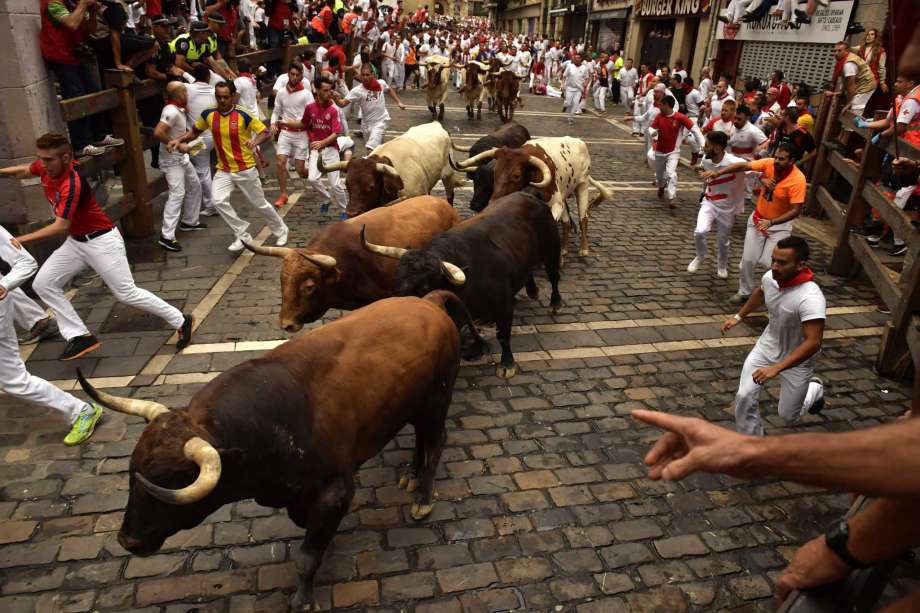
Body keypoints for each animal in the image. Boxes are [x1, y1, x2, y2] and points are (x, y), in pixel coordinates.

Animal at [75, 290, 486, 608]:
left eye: (170, 480)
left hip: (437, 400)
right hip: (413, 405)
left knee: (435, 442)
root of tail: (427, 301)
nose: (127, 540)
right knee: (420, 439)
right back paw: (411, 475)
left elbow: (306, 557)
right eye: (131, 474)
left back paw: (423, 497)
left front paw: (303, 599)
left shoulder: (336, 490)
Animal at [318, 120, 460, 216]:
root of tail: (436, 124)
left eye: (371, 186)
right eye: (347, 184)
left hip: (448, 174)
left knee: (450, 196)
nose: (352, 213)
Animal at [362, 192, 564, 378]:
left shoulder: (504, 304)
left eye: (425, 286)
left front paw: (507, 364)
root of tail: (529, 196)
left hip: (552, 251)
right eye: (397, 278)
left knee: (554, 277)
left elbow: (503, 335)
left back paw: (555, 304)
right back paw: (532, 291)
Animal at [458, 135, 616, 256]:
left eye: (516, 175)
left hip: (582, 186)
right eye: (495, 171)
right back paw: (564, 249)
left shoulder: (556, 203)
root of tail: (579, 142)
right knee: (566, 222)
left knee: (583, 218)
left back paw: (584, 249)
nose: (493, 202)